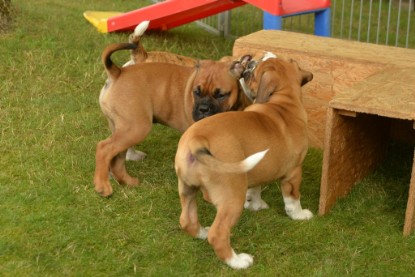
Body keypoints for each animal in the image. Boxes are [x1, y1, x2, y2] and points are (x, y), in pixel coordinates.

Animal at [94, 42, 250, 196]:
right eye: (196, 92)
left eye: (221, 95)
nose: (203, 109)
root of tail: (117, 72)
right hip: (136, 128)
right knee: (104, 148)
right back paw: (103, 186)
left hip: (123, 130)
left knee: (117, 158)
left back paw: (128, 182)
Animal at [174, 56, 314, 268]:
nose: (249, 64)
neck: (284, 101)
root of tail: (196, 140)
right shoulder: (293, 173)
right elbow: (292, 199)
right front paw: (299, 215)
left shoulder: (259, 169)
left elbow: (256, 188)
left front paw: (256, 205)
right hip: (232, 197)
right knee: (218, 234)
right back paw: (238, 261)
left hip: (187, 188)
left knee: (187, 221)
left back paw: (201, 232)